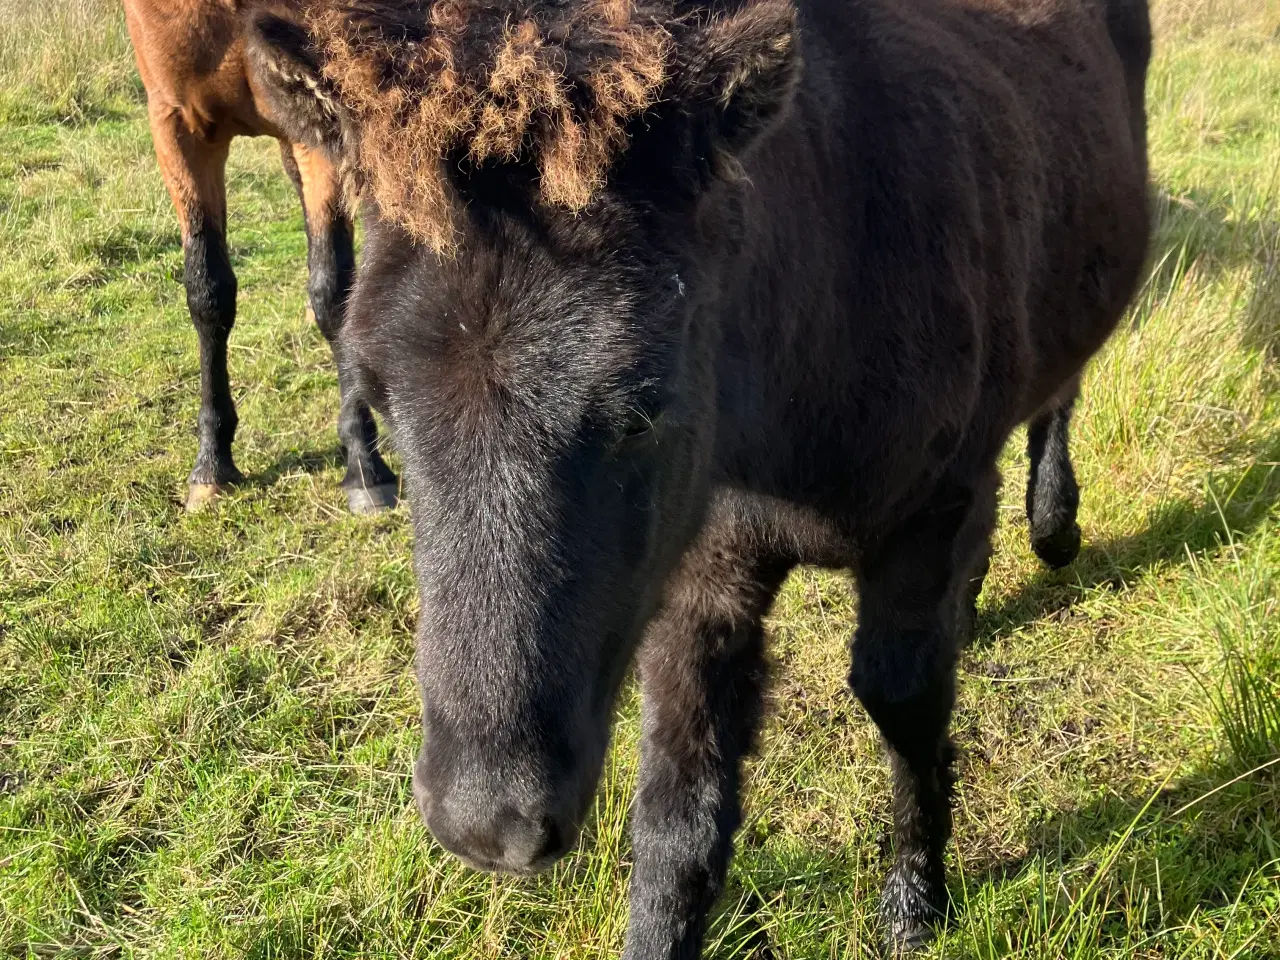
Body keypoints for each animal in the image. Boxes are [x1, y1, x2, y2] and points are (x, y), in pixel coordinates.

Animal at [125, 0, 396, 514]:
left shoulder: (322, 118)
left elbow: (332, 291)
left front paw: (364, 466)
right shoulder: (179, 126)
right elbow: (208, 292)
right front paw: (212, 465)